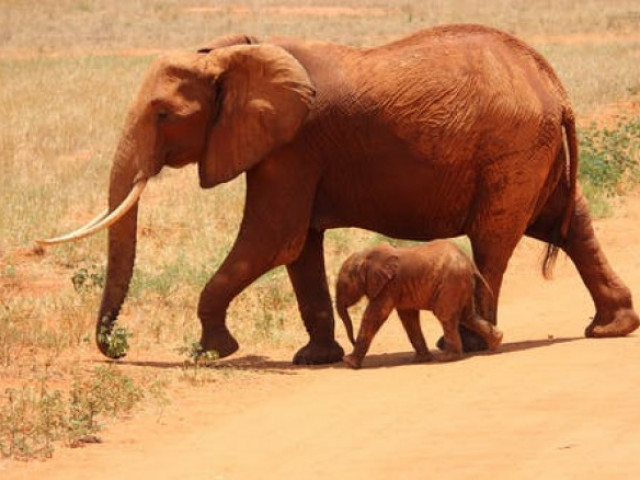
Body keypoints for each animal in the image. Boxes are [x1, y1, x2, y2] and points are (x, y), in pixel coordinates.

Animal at [338, 242, 502, 370]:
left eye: (344, 285)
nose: (352, 342)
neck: (367, 255)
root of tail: (470, 264)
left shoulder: (389, 285)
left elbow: (374, 315)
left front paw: (349, 363)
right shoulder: (398, 288)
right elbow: (408, 318)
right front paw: (420, 360)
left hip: (451, 283)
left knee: (445, 316)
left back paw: (448, 358)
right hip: (461, 283)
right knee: (467, 316)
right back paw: (496, 343)